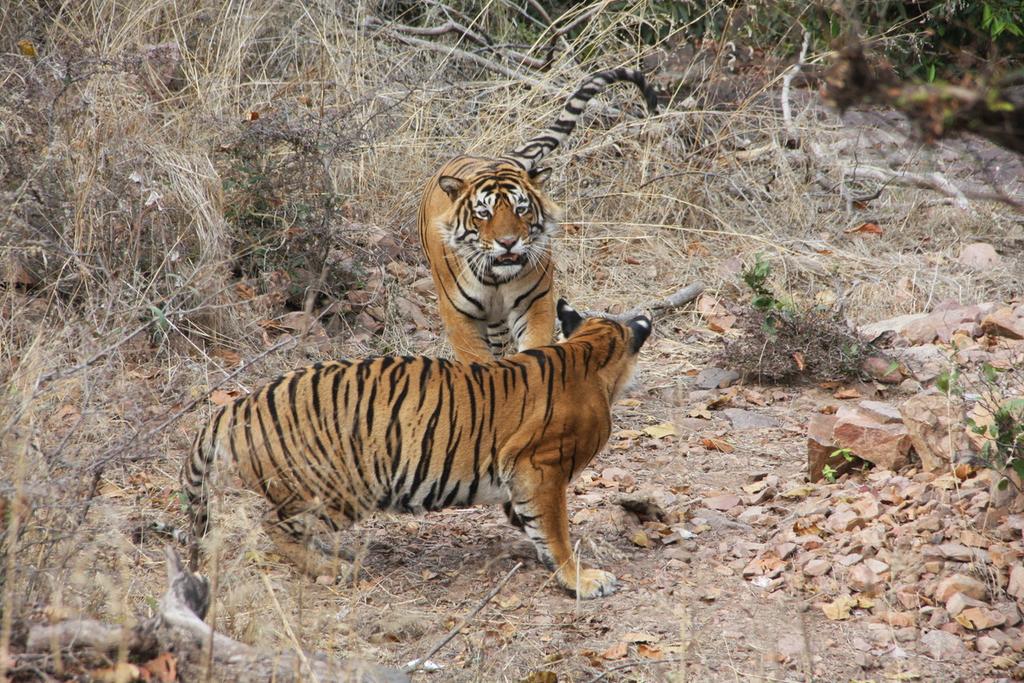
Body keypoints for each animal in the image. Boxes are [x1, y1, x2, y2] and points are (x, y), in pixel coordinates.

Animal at [181, 301, 651, 598]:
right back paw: (335, 568)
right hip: (339, 487)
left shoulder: (519, 477)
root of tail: (236, 406)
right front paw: (582, 578)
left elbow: (533, 525)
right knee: (273, 526)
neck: (588, 351)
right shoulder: (541, 468)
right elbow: (554, 530)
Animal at [415, 68, 655, 362]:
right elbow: (477, 360)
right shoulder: (459, 317)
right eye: (483, 212)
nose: (508, 243)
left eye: (521, 208)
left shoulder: (535, 304)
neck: (496, 280)